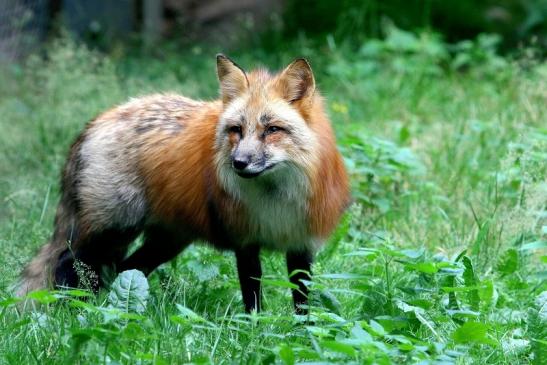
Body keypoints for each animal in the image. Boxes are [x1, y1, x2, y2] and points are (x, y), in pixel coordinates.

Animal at [19, 54, 352, 312]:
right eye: (236, 130)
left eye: (272, 130)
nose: (238, 163)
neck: (275, 200)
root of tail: (97, 120)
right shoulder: (245, 241)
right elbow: (253, 299)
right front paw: (255, 331)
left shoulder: (301, 243)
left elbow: (302, 303)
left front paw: (302, 335)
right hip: (111, 229)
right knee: (67, 265)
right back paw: (70, 311)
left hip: (165, 241)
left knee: (122, 270)